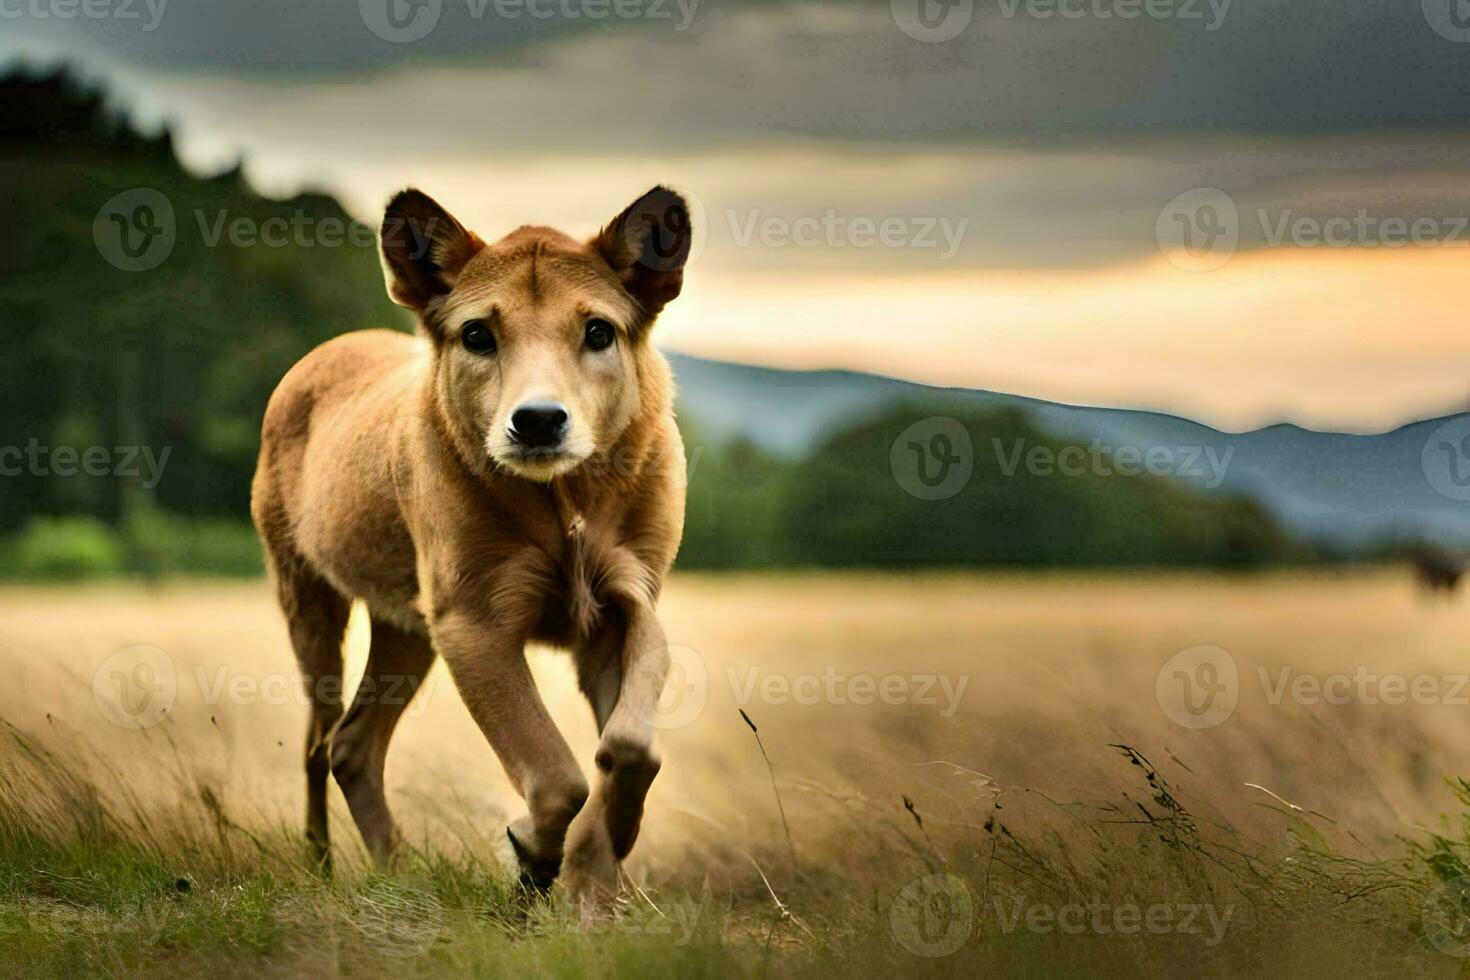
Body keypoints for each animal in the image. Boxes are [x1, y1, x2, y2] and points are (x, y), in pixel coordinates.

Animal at [249, 188, 690, 899]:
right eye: (479, 335)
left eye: (598, 332)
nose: (537, 421)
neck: (565, 496)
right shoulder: (473, 619)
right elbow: (555, 775)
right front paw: (531, 856)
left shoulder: (629, 600)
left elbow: (630, 749)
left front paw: (599, 879)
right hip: (310, 599)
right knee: (320, 742)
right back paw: (323, 871)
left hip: (407, 625)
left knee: (353, 746)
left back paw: (397, 874)